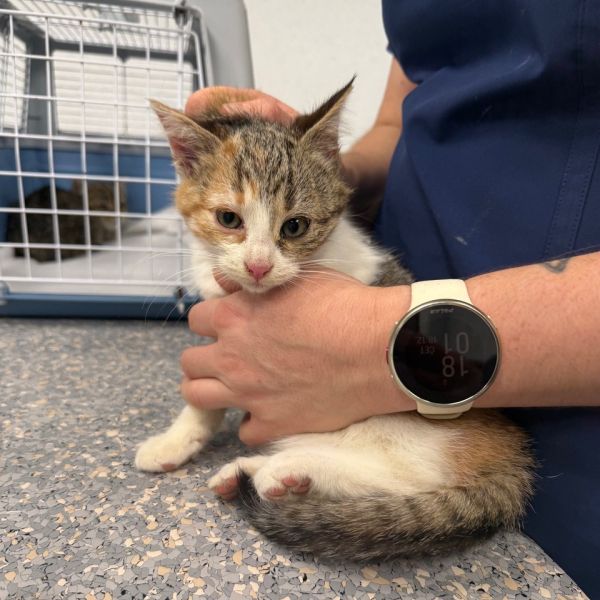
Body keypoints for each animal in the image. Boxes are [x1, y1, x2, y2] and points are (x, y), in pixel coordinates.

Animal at [135, 81, 534, 560]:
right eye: (228, 218)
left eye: (295, 227)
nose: (258, 266)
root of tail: (508, 453)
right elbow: (205, 397)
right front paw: (177, 439)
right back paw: (255, 473)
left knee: (401, 475)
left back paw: (285, 470)